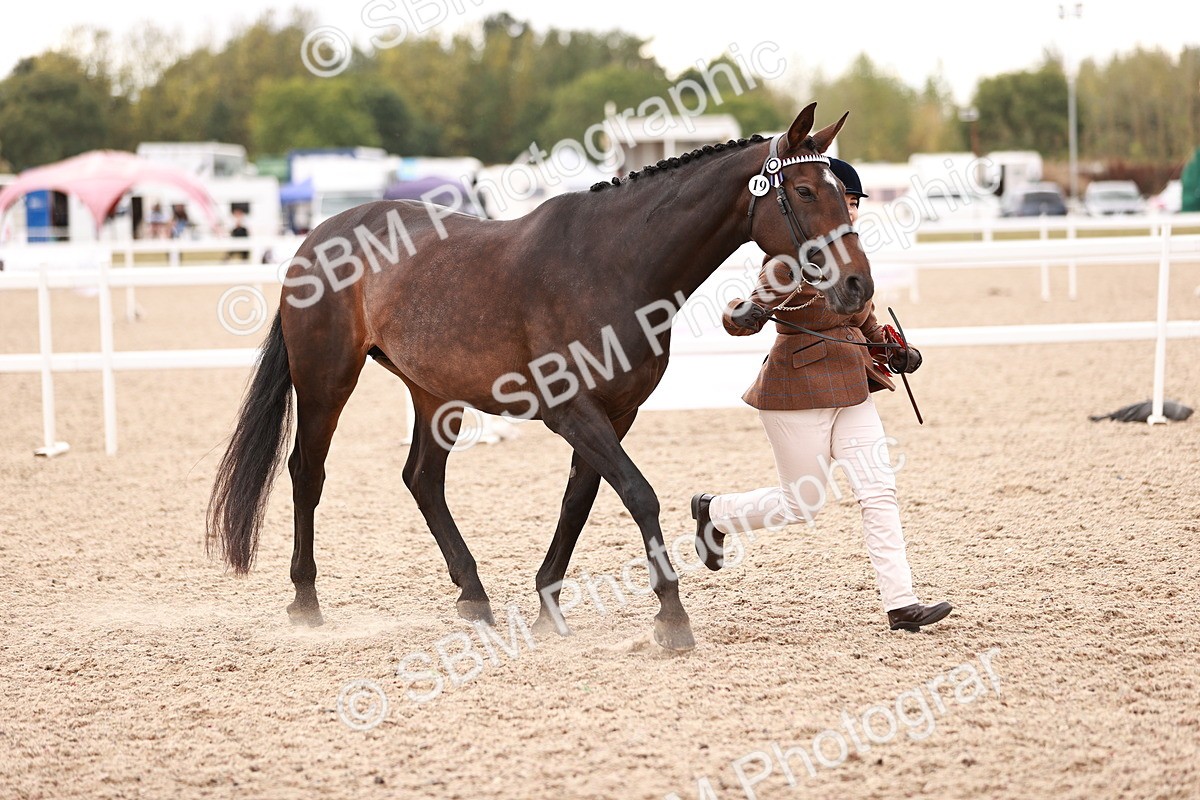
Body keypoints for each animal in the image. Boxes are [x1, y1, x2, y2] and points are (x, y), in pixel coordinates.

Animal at [206, 102, 873, 651]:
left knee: (422, 478)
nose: (856, 286)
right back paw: (305, 602)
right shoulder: (572, 411)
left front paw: (550, 602)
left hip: (434, 393)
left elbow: (580, 498)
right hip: (325, 381)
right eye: (805, 191)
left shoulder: (615, 413)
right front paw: (671, 618)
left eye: (840, 193)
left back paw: (474, 596)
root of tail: (317, 235)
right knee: (307, 472)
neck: (613, 265)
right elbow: (638, 494)